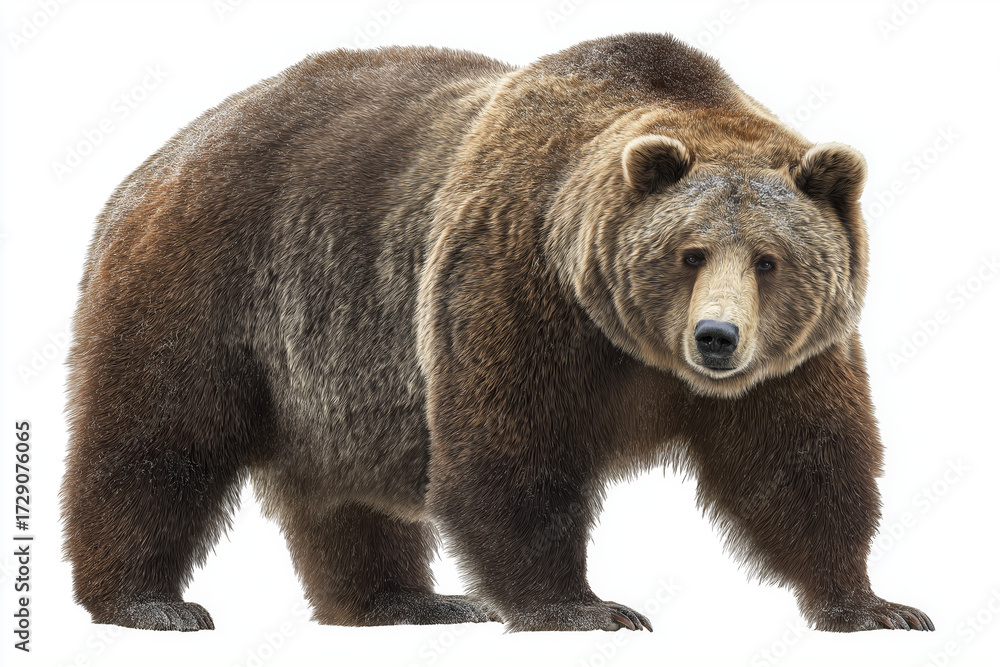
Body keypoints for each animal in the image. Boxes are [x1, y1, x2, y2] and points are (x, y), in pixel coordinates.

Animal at [61, 32, 933, 633]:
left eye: (768, 259)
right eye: (689, 253)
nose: (716, 337)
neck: (633, 345)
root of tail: (153, 163)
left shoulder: (791, 360)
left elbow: (802, 459)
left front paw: (874, 604)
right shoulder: (513, 279)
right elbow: (510, 446)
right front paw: (586, 606)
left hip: (334, 371)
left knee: (347, 489)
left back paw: (406, 600)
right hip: (212, 283)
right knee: (159, 436)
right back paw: (149, 601)